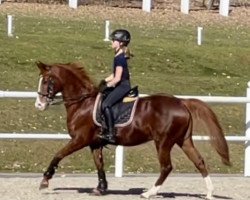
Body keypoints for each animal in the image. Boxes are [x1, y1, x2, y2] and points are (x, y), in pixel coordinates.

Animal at [34, 61, 229, 200]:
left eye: (46, 81)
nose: (39, 105)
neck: (83, 103)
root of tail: (181, 102)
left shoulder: (79, 139)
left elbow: (58, 154)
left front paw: (45, 181)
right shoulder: (94, 143)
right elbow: (99, 165)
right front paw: (101, 188)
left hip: (163, 142)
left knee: (166, 167)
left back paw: (149, 193)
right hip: (184, 140)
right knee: (199, 162)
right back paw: (209, 193)